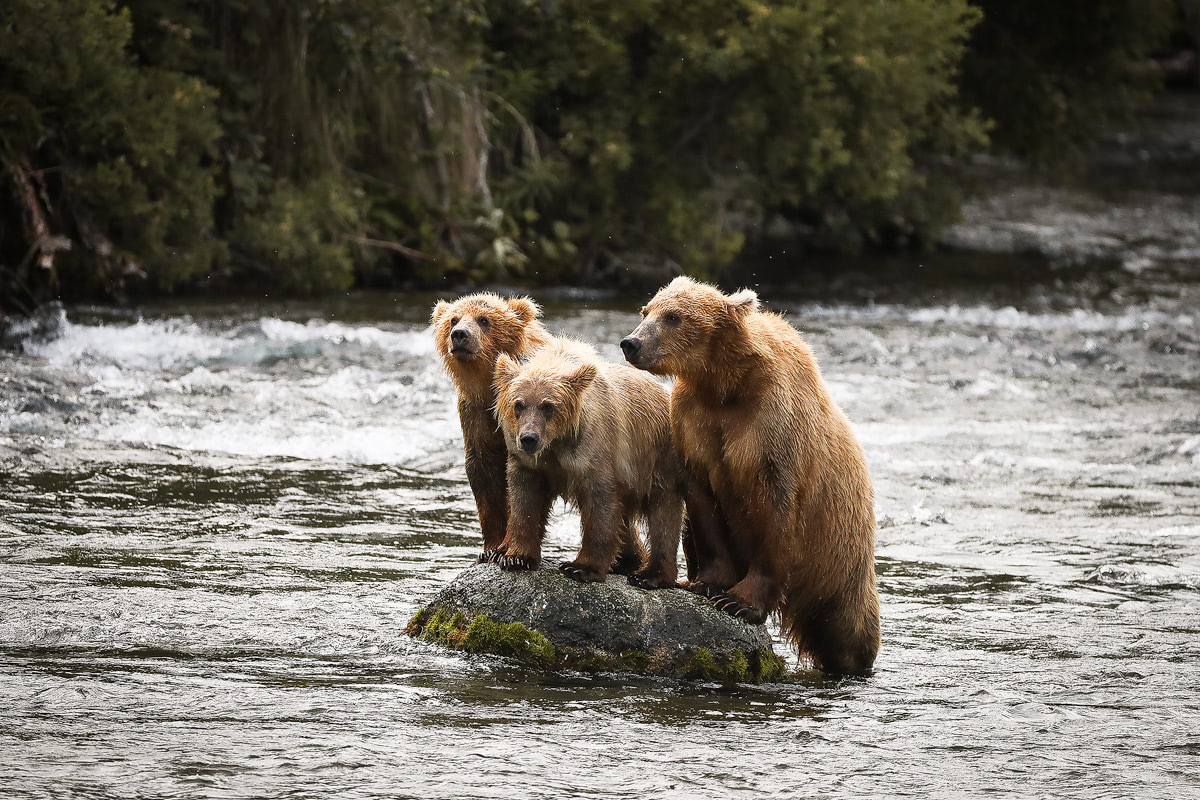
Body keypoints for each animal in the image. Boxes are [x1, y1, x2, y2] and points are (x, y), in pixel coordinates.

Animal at [432, 291, 552, 561]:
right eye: (453, 319)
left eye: (484, 319)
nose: (460, 334)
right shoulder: (475, 413)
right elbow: (483, 472)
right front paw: (490, 549)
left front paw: (512, 552)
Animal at [492, 340, 686, 587]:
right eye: (519, 404)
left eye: (548, 406)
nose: (529, 438)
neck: (557, 440)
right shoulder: (528, 462)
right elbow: (524, 499)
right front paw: (516, 557)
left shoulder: (593, 449)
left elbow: (600, 503)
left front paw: (580, 567)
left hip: (658, 458)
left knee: (664, 513)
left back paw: (650, 575)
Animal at [624, 278, 878, 671]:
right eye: (646, 310)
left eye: (674, 316)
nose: (631, 343)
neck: (724, 385)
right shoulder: (693, 425)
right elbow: (704, 508)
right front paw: (707, 584)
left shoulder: (772, 430)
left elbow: (774, 518)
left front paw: (740, 602)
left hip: (841, 554)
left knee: (848, 626)